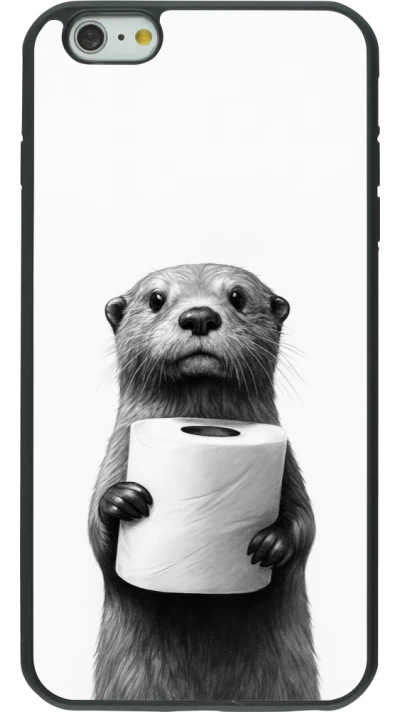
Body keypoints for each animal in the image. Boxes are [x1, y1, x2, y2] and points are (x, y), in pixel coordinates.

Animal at [89, 263, 318, 701]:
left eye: (238, 297)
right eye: (156, 299)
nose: (199, 316)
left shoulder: (290, 469)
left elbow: (307, 524)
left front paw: (273, 542)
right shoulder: (115, 458)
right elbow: (96, 537)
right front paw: (121, 501)